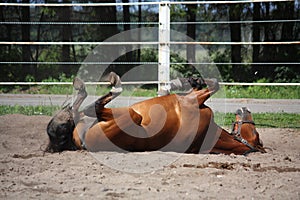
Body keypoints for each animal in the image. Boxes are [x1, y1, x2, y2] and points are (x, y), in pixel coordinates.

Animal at [45, 72, 266, 155]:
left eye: (256, 134)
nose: (246, 109)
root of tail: (82, 143)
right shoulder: (193, 99)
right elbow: (213, 84)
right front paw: (187, 80)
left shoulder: (192, 101)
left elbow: (214, 85)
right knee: (81, 110)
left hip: (130, 116)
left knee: (91, 107)